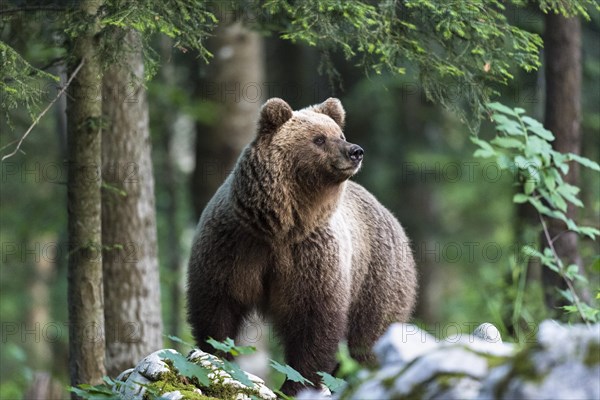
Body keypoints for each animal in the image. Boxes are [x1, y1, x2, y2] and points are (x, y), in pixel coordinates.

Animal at [188, 98, 418, 396]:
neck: (281, 225)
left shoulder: (312, 256)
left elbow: (314, 321)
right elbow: (218, 305)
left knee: (368, 340)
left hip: (376, 280)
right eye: (319, 139)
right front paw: (217, 358)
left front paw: (297, 384)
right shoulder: (236, 244)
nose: (355, 151)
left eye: (340, 134)